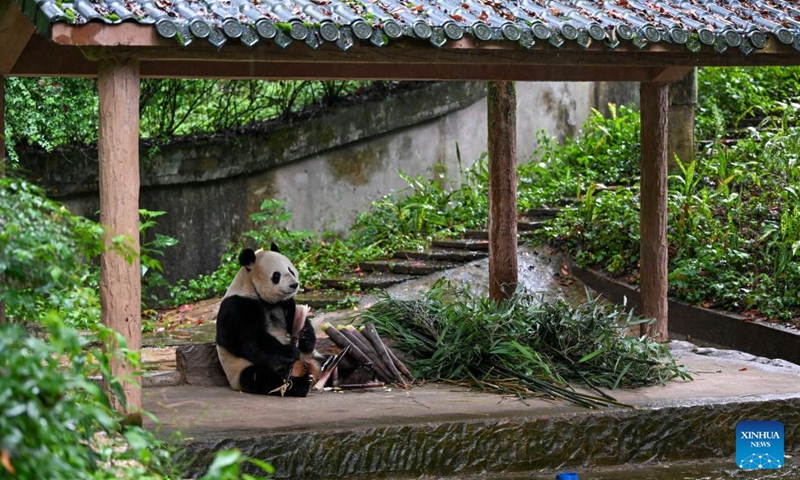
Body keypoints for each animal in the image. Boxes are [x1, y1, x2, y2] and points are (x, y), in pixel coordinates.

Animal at [219, 246, 322, 396]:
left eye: (291, 270)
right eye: (276, 275)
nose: (294, 285)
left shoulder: (285, 302)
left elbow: (294, 319)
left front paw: (305, 336)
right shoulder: (237, 305)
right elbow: (248, 339)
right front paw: (290, 351)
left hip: (311, 356)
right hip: (241, 369)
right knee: (260, 378)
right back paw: (301, 384)